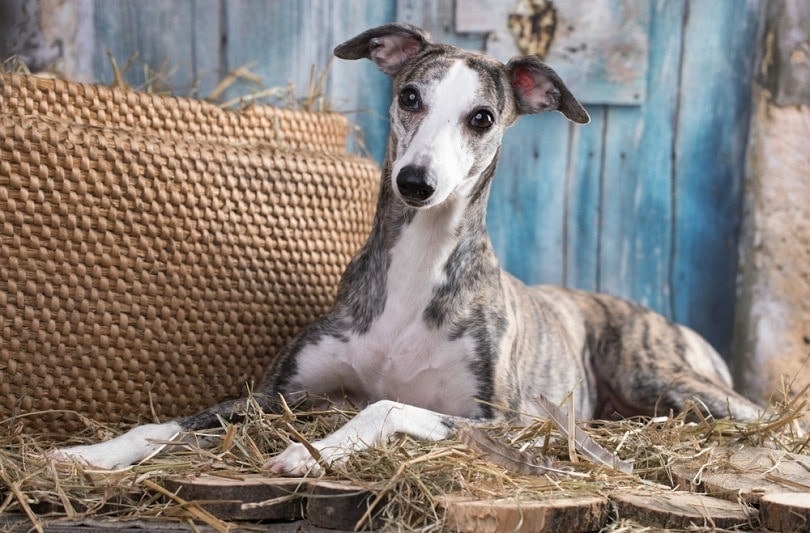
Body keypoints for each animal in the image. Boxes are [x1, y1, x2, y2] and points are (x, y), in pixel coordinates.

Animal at [53, 23, 760, 474]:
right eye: (409, 96)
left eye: (482, 118)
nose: (415, 183)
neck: (418, 269)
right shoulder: (280, 394)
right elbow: (167, 423)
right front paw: (89, 453)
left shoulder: (507, 420)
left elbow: (388, 403)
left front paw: (311, 451)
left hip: (663, 378)